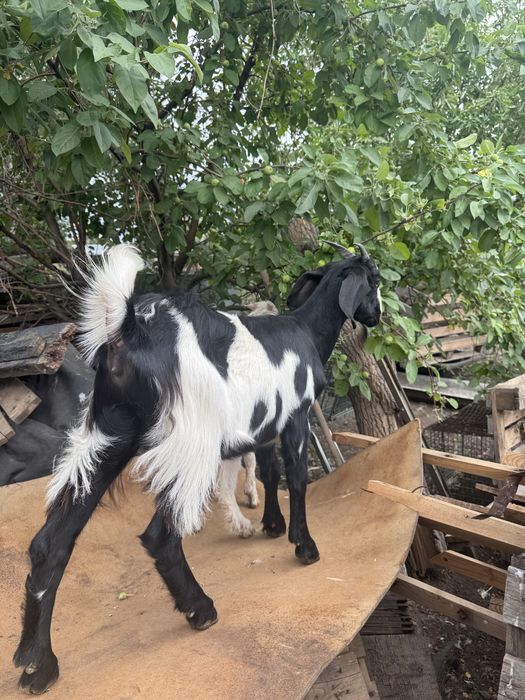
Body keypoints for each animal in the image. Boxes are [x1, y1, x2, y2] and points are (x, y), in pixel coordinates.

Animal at [13, 242, 381, 694]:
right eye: (374, 282)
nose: (377, 315)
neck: (306, 331)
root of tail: (128, 328)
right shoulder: (296, 413)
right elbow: (294, 476)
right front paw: (304, 545)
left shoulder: (264, 423)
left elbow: (269, 472)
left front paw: (273, 526)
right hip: (189, 440)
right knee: (160, 535)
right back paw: (200, 610)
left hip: (105, 436)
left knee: (52, 542)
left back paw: (38, 666)